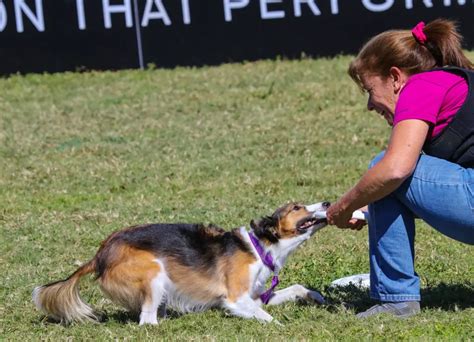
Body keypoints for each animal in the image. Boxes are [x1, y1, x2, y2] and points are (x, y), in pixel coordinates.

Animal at [32, 202, 330, 324]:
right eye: (296, 208)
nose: (327, 202)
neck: (259, 247)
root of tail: (99, 255)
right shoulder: (236, 299)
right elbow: (266, 316)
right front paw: (281, 327)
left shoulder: (255, 296)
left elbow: (296, 288)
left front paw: (317, 296)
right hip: (154, 270)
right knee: (147, 321)